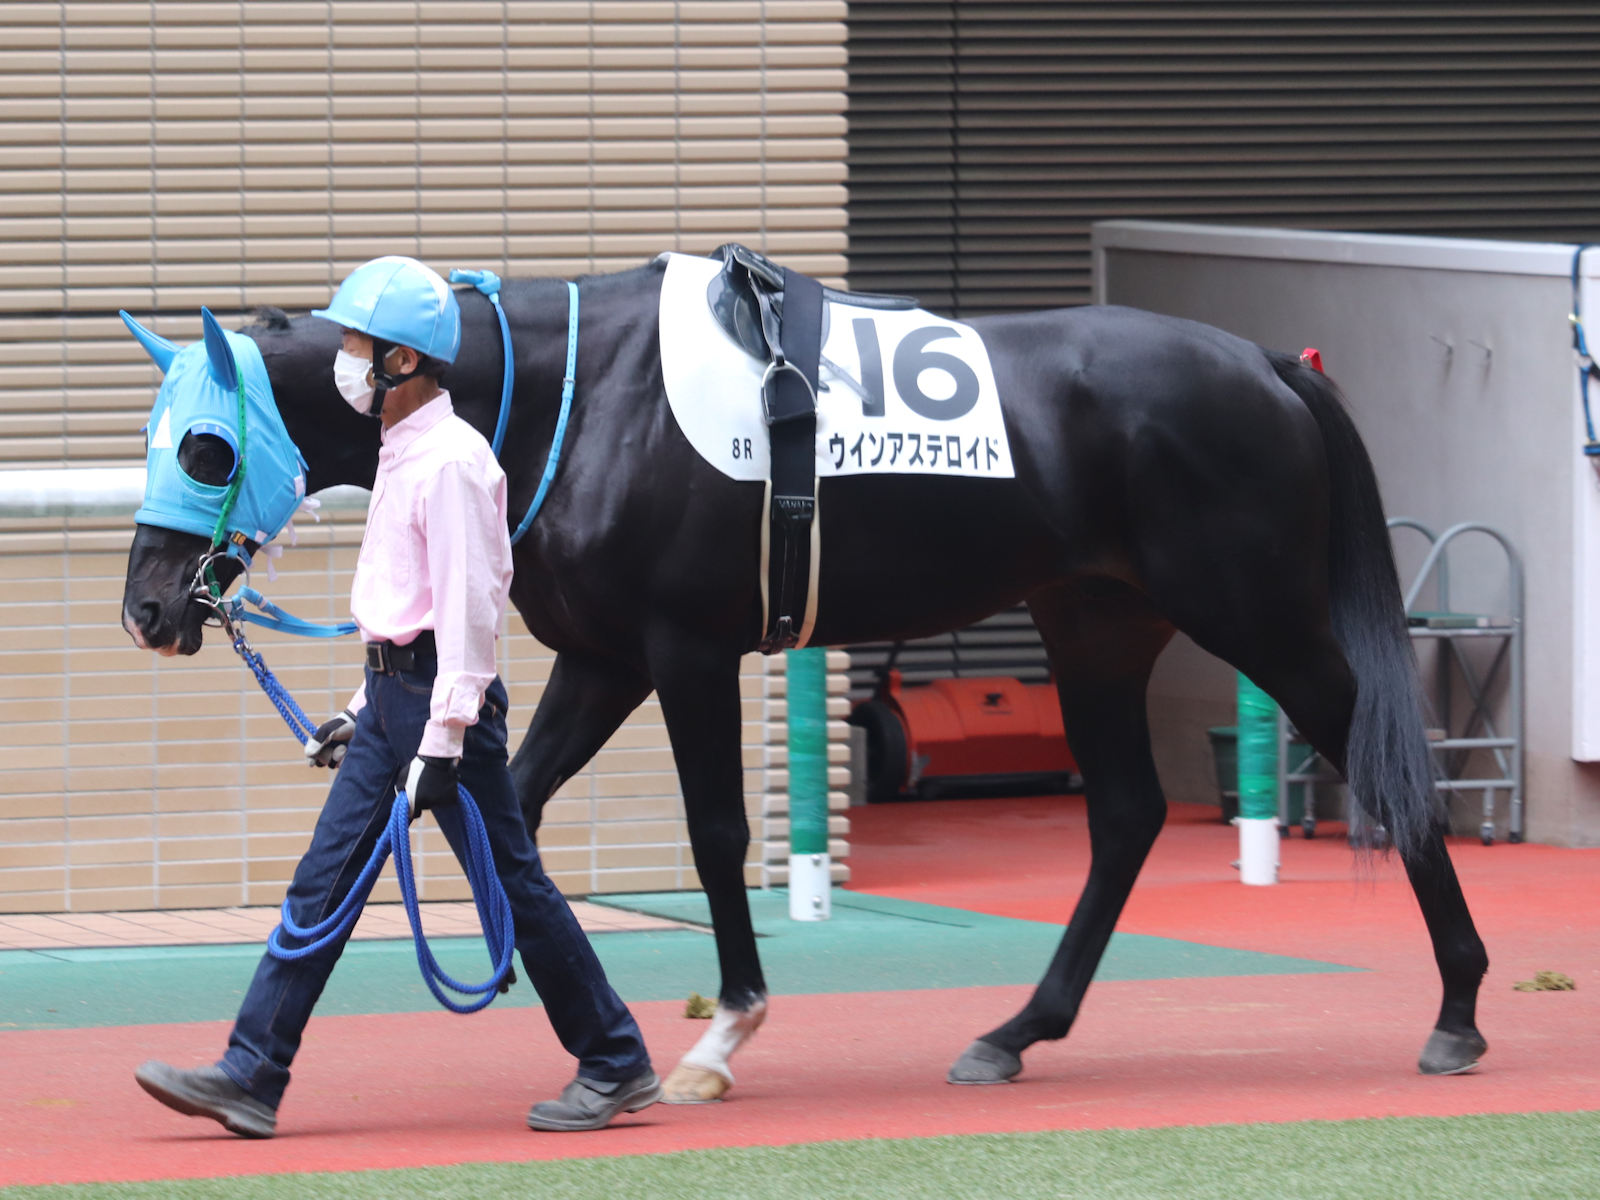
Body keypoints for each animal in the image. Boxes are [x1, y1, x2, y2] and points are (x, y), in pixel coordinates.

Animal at [118, 250, 1489, 1103]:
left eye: (205, 446)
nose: (146, 609)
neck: (577, 395)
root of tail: (1267, 363)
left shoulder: (682, 647)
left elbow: (719, 833)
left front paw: (720, 1034)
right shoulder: (602, 655)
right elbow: (487, 808)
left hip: (1256, 611)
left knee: (1382, 764)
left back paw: (1459, 1012)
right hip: (1097, 621)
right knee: (1124, 815)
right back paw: (1014, 1033)